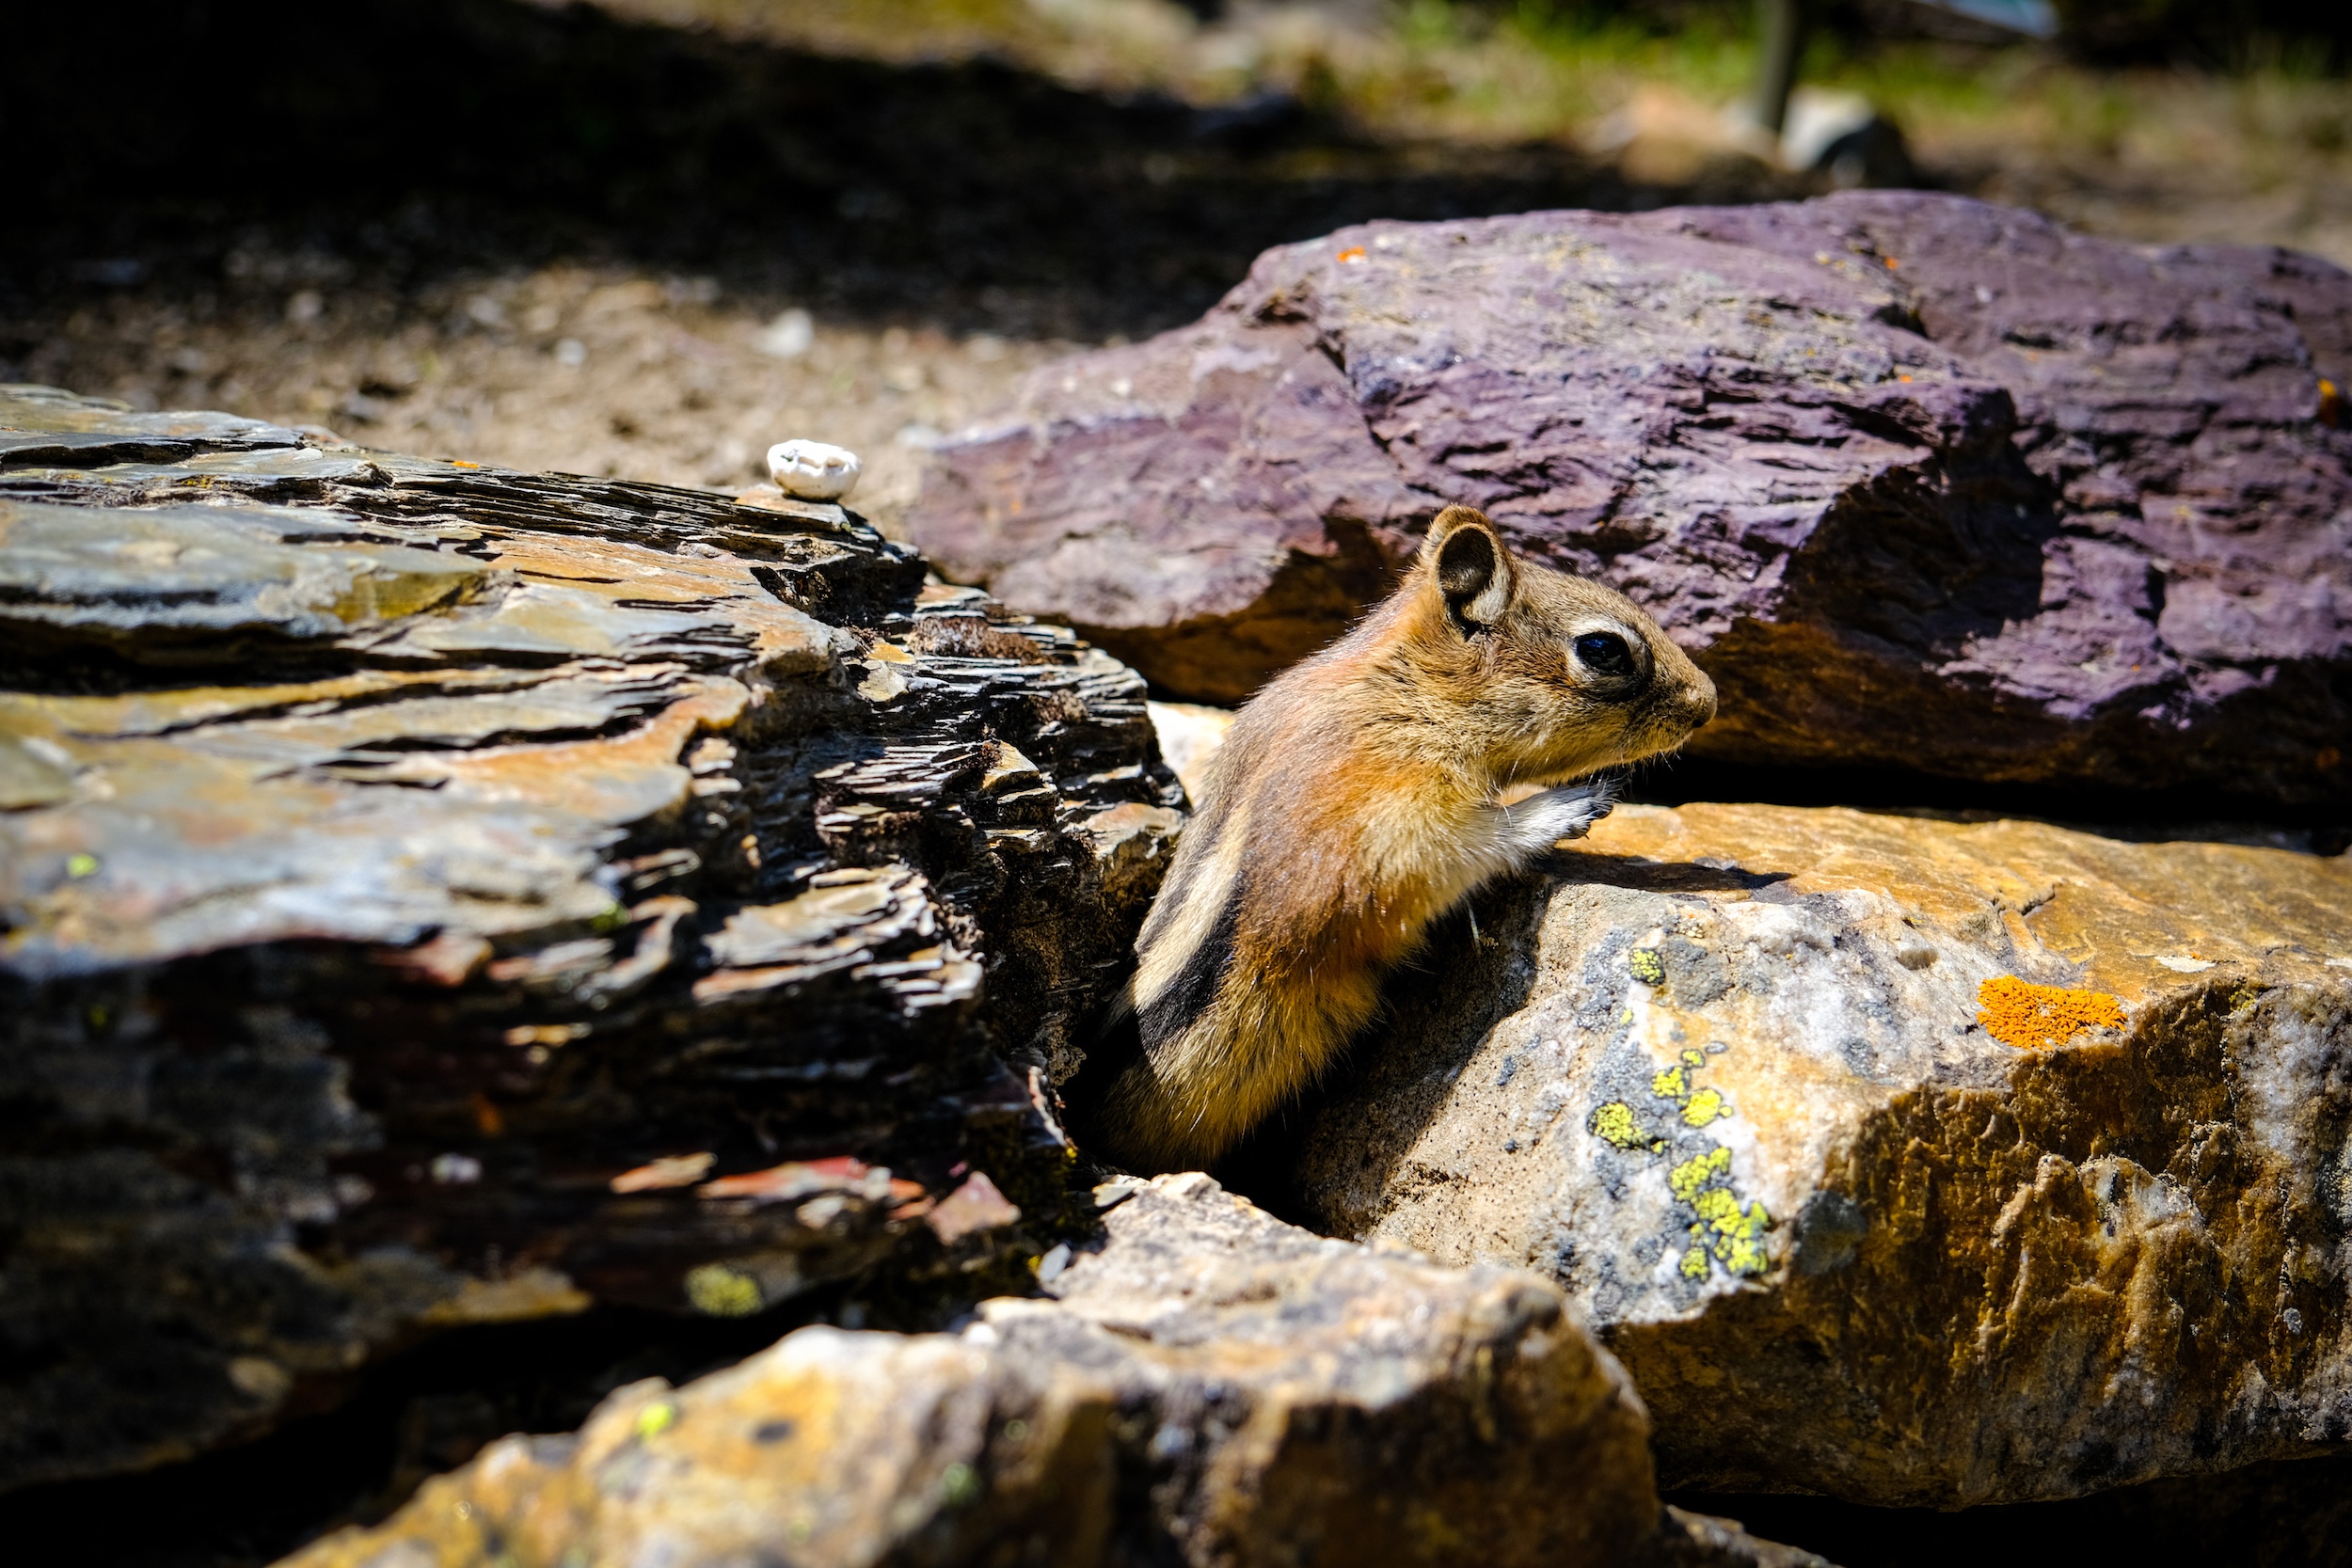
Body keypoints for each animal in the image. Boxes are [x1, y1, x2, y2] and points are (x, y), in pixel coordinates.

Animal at [1091, 510, 1722, 1170]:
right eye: (1604, 650)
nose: (1708, 703)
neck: (1406, 690)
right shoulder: (1363, 825)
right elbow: (1437, 855)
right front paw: (1557, 809)